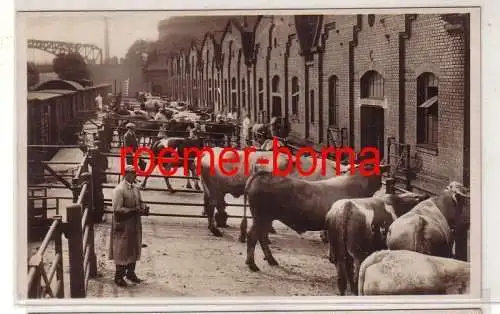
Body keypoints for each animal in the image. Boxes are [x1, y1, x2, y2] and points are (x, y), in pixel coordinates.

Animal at [242, 164, 386, 272]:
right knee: (253, 236)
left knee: (261, 237)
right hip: (262, 217)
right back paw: (252, 264)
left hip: (264, 218)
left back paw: (271, 260)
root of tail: (263, 174)